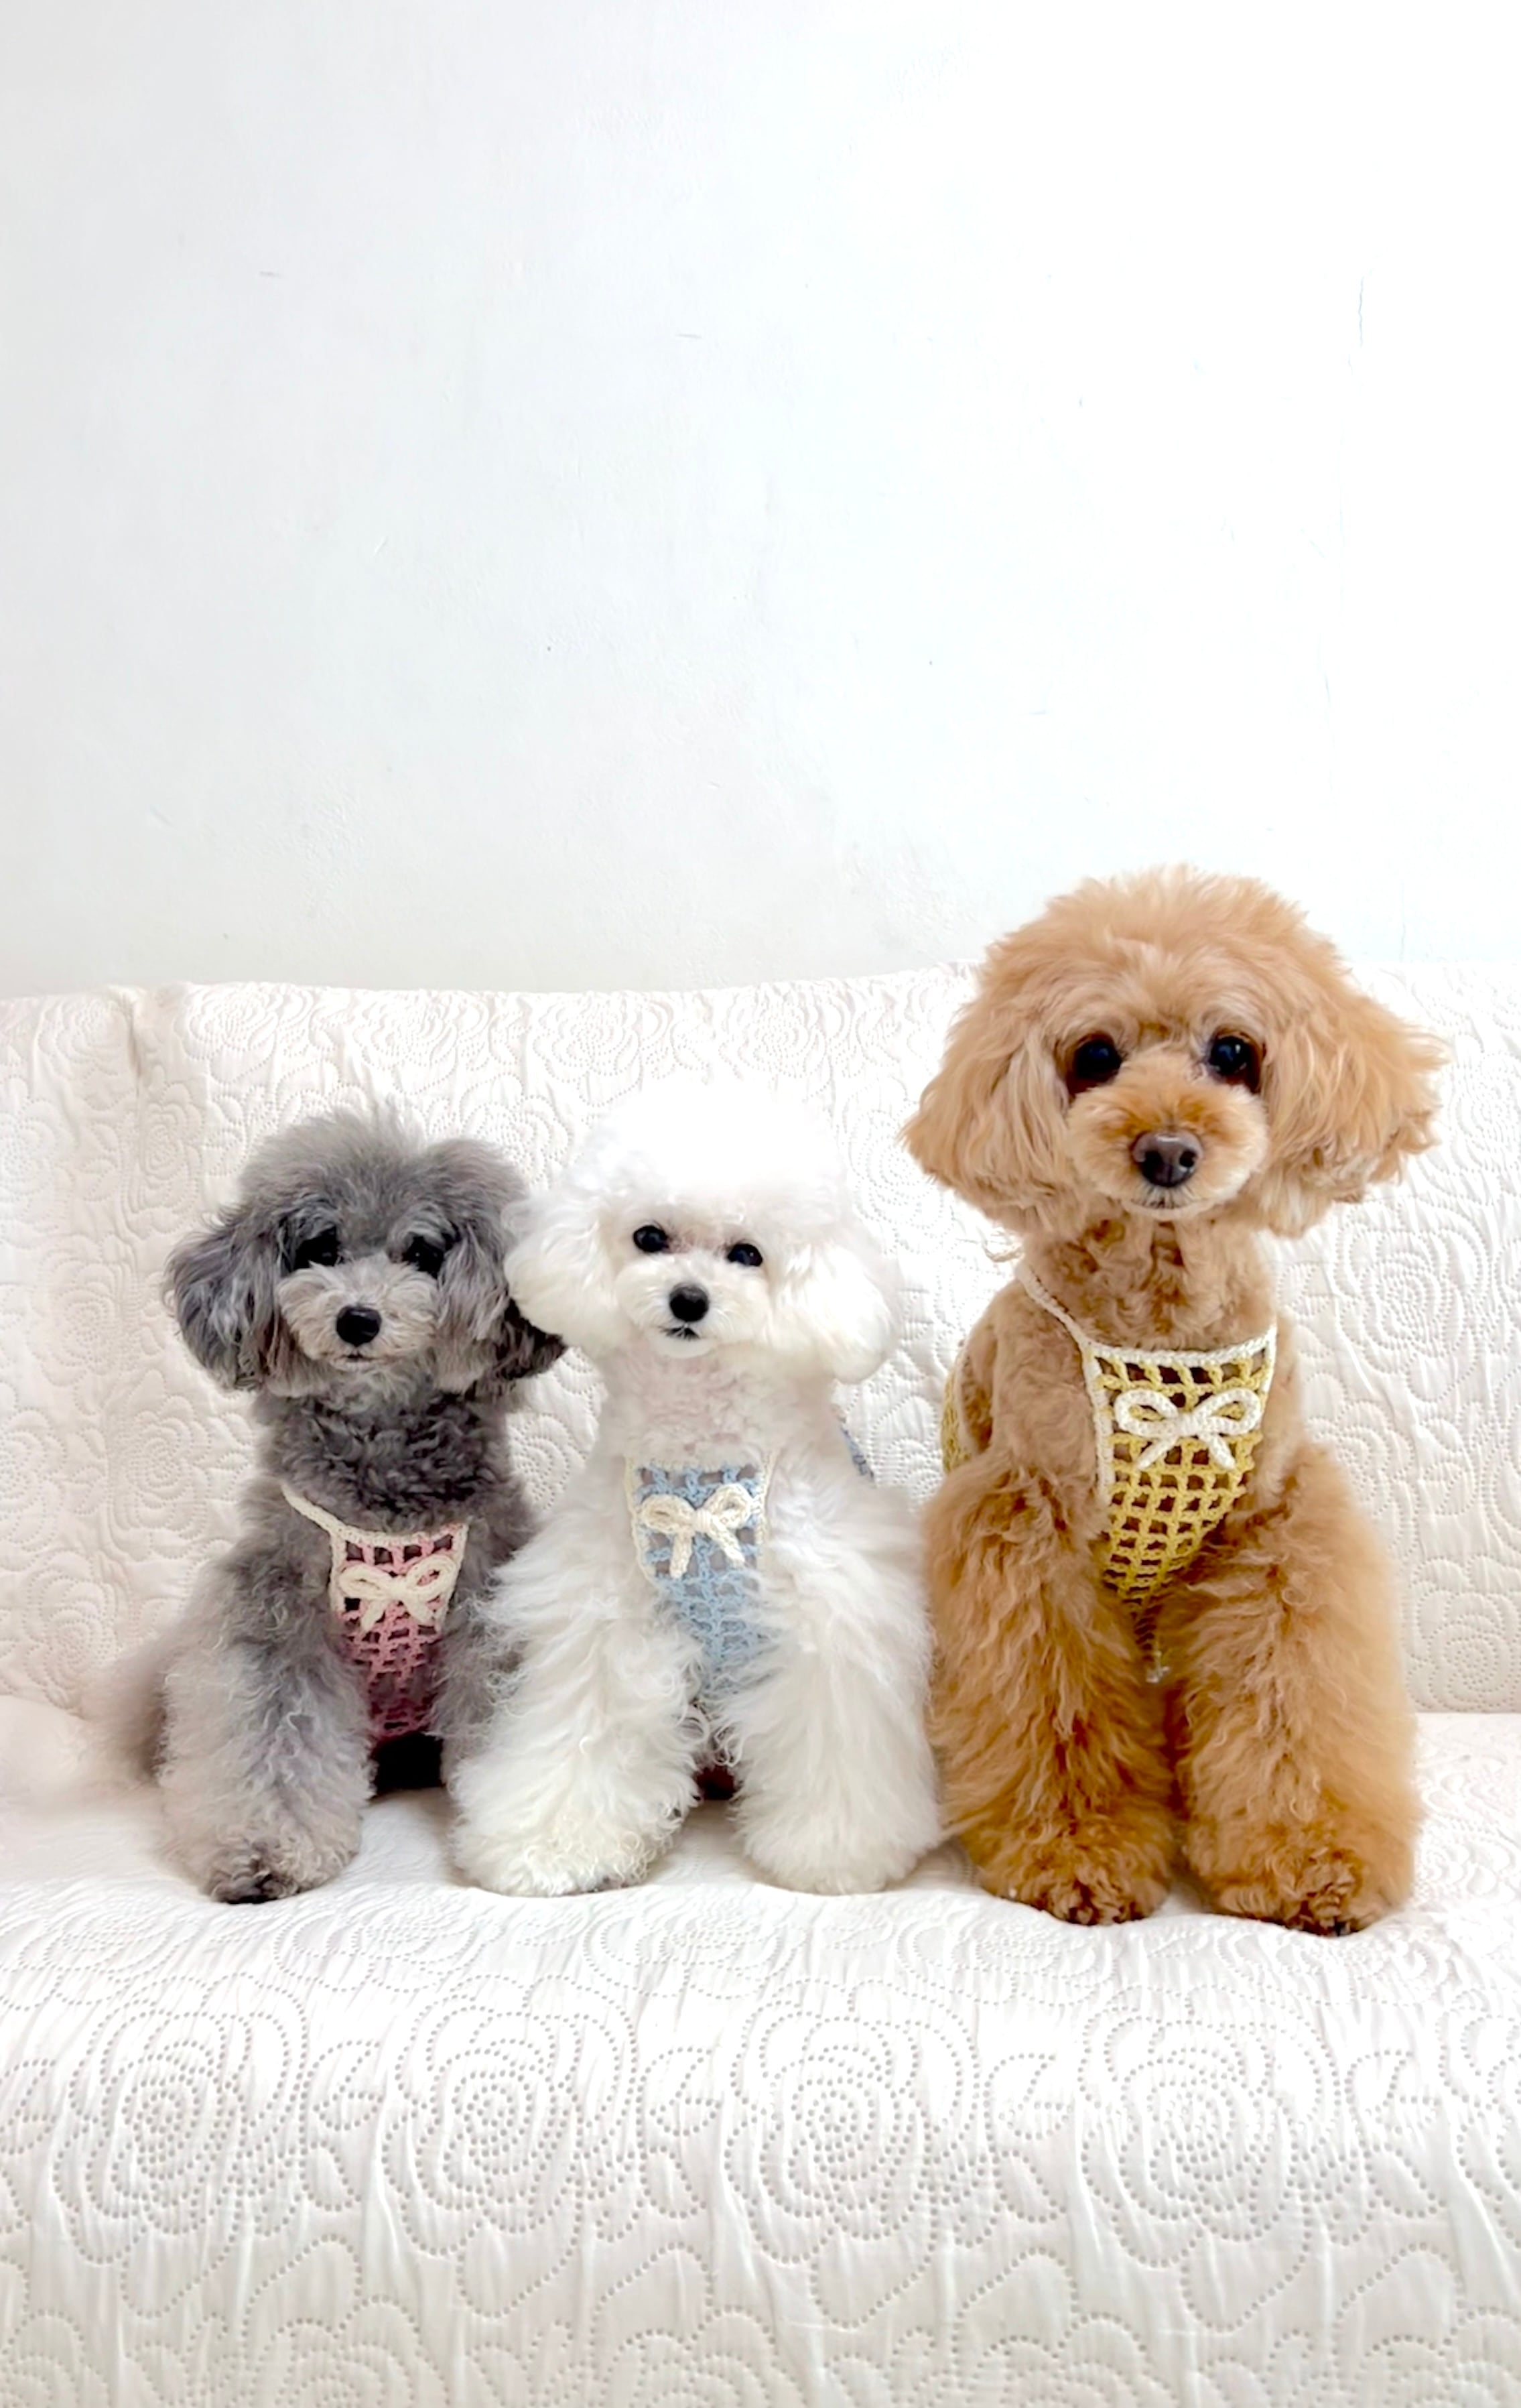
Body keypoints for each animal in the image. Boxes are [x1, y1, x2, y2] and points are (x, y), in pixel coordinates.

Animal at [107, 1109, 562, 1902]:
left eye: (422, 1253)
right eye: (322, 1249)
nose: (357, 1319)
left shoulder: (489, 1598)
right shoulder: (273, 1614)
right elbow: (268, 1736)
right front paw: (264, 1854)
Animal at [450, 1081, 942, 1896]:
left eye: (748, 1253)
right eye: (649, 1236)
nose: (688, 1299)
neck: (697, 1467)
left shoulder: (826, 1616)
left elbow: (833, 1743)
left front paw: (836, 1851)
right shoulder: (604, 1615)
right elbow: (585, 1732)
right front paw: (553, 1847)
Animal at [905, 867, 1443, 1932]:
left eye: (1231, 1051)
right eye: (1094, 1057)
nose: (1164, 1150)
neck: (1160, 1323)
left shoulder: (1275, 1531)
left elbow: (1288, 1706)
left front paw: (1310, 1861)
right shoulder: (1026, 1527)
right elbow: (1056, 1710)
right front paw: (1080, 1854)